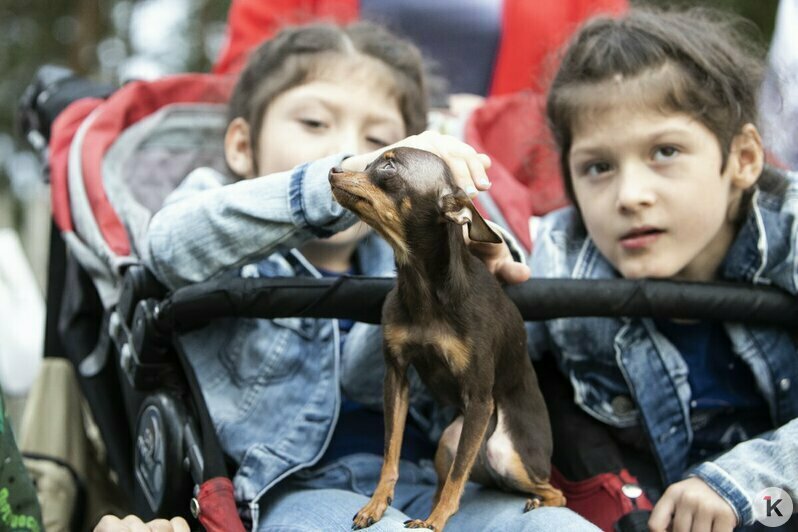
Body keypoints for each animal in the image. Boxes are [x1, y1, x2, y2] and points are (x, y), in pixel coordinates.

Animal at [328, 148, 564, 528]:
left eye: (388, 166)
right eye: (367, 162)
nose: (333, 168)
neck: (424, 288)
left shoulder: (480, 399)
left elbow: (457, 478)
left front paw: (436, 522)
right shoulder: (396, 378)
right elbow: (390, 453)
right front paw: (377, 504)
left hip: (502, 450)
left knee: (553, 490)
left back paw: (536, 502)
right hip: (449, 442)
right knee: (452, 472)